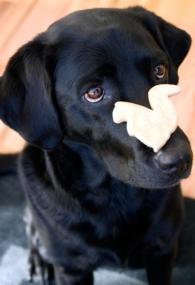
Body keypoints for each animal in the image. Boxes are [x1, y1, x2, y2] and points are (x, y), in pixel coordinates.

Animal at [0, 6, 193, 284]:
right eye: (94, 93)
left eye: (159, 70)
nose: (180, 160)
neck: (114, 195)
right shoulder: (73, 269)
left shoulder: (162, 250)